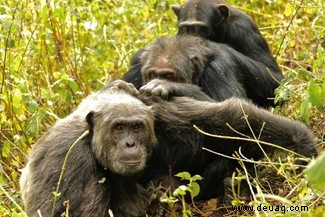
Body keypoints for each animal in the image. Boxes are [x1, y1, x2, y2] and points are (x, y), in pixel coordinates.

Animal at [20, 81, 157, 217]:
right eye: (119, 127)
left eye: (136, 126)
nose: (130, 143)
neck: (90, 138)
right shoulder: (66, 155)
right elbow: (52, 211)